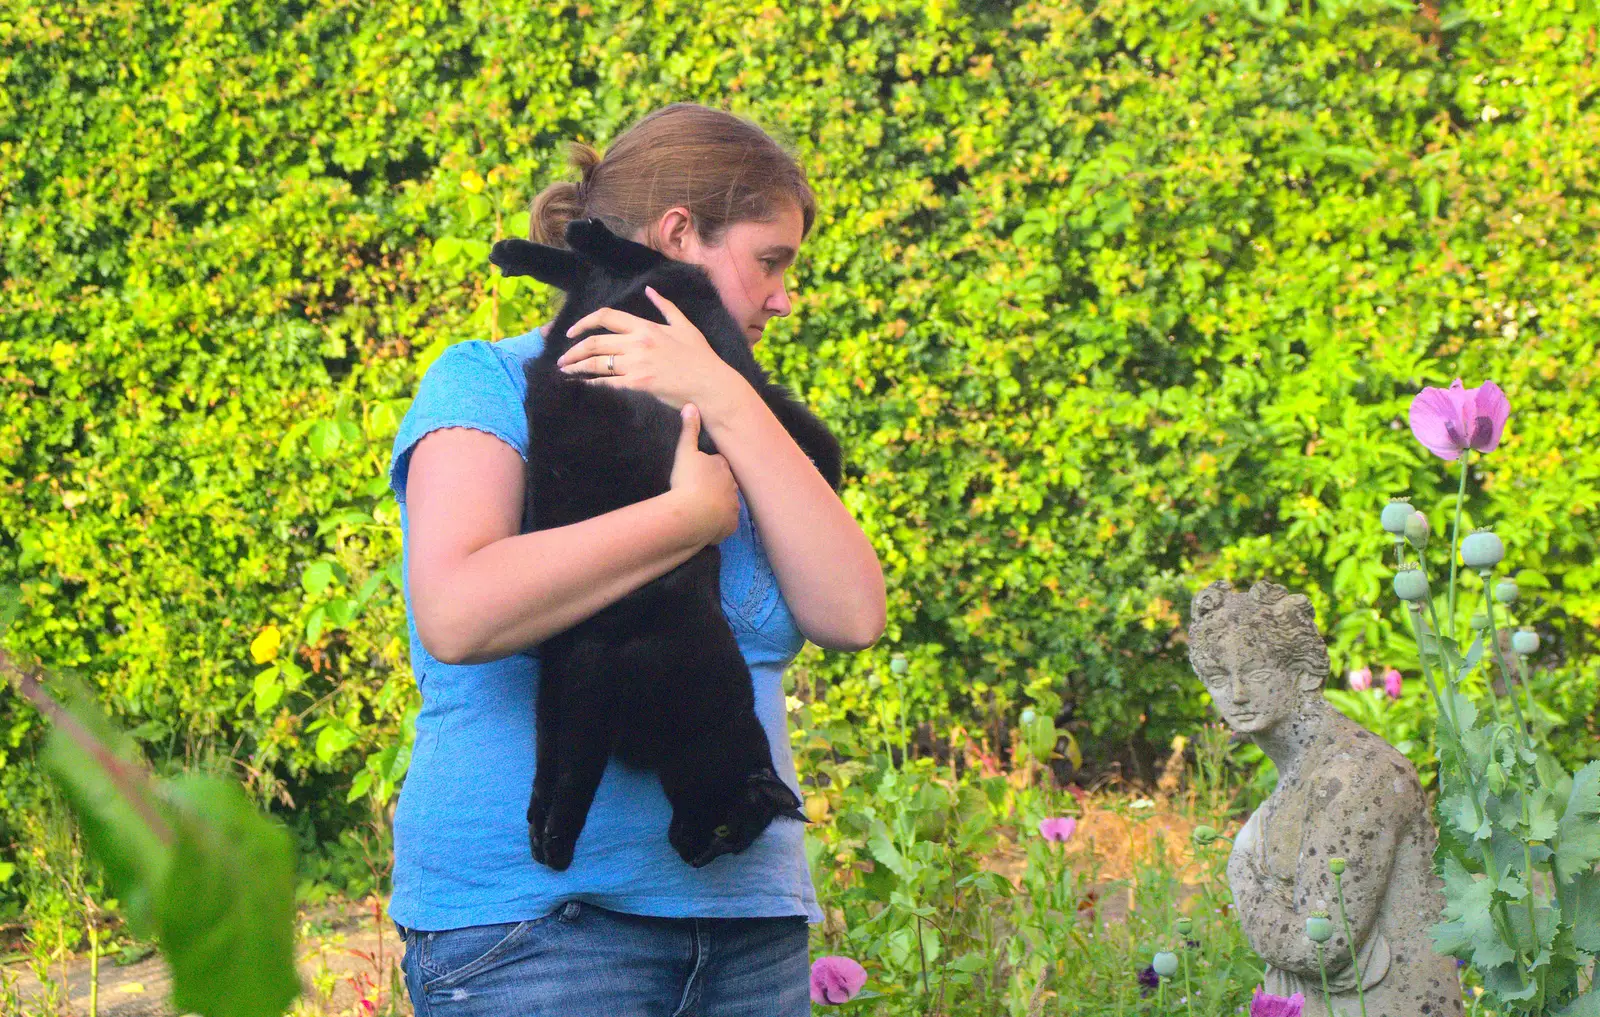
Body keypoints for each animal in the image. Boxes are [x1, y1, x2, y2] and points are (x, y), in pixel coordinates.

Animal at [486, 219, 844, 869]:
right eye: (730, 830)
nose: (701, 858)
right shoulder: (595, 674)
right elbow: (578, 770)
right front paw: (561, 841)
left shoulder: (561, 664)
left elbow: (548, 751)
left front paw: (538, 828)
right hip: (680, 303)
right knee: (650, 260)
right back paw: (572, 233)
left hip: (591, 314)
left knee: (592, 273)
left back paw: (524, 252)